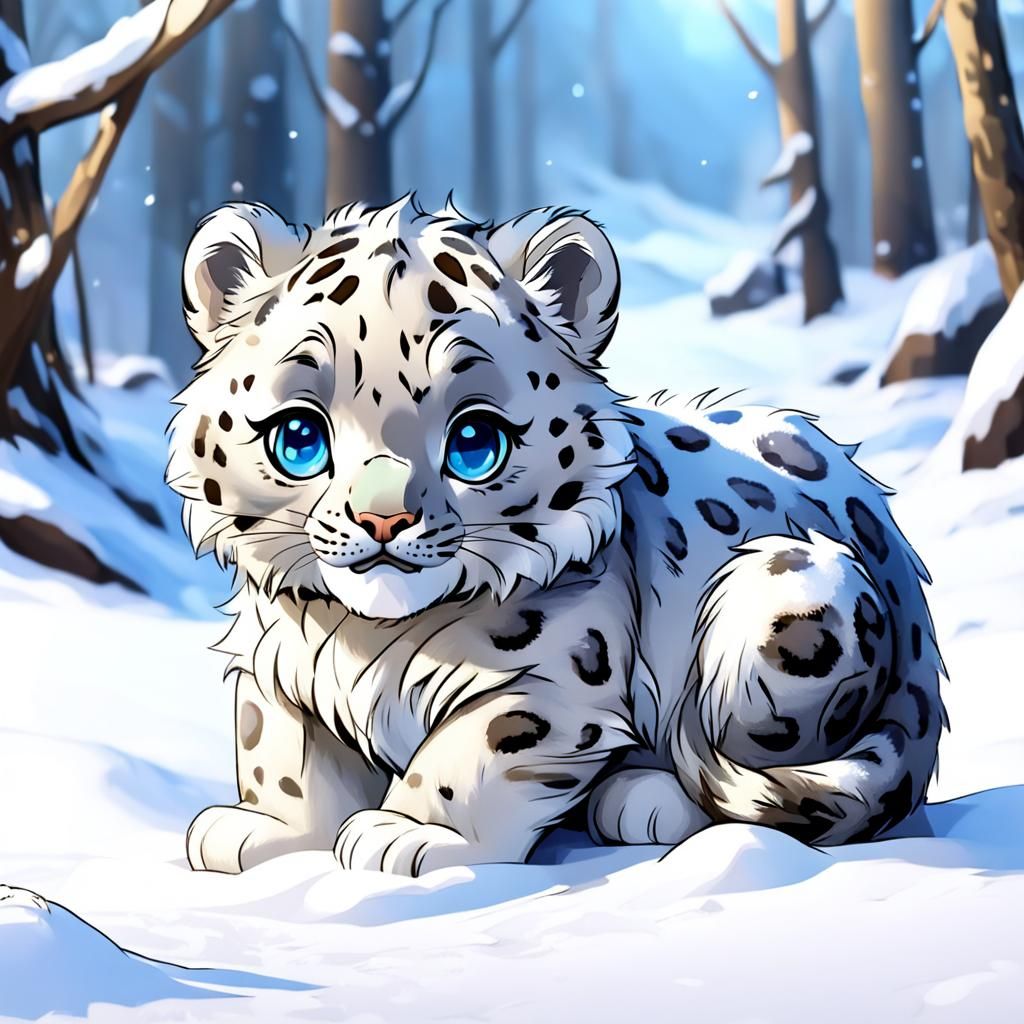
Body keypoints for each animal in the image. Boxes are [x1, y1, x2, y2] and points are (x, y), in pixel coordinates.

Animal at [166, 194, 946, 876]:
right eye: (298, 437)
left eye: (475, 441)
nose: (383, 520)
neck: (362, 640)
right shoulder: (277, 661)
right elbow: (277, 745)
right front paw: (264, 829)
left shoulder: (553, 680)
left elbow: (471, 749)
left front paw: (410, 832)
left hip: (785, 602)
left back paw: (646, 798)